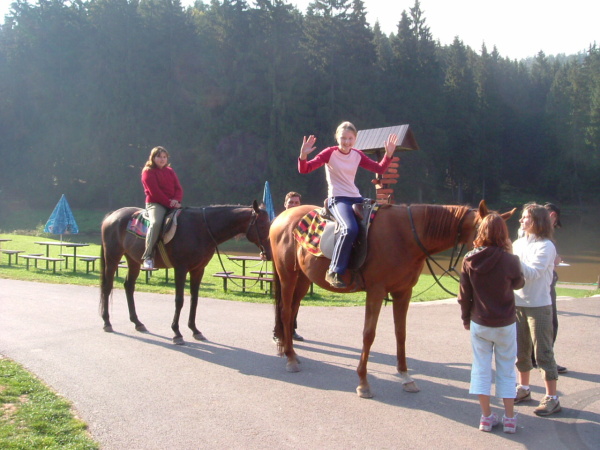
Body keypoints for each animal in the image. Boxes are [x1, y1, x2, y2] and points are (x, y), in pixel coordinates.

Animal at [99, 201, 272, 344]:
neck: (201, 229)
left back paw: (137, 322)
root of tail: (112, 215)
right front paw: (177, 332)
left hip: (133, 260)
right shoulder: (181, 269)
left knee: (129, 286)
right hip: (113, 257)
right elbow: (179, 300)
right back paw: (107, 322)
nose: (269, 254)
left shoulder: (198, 270)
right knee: (107, 287)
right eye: (263, 226)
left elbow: (194, 300)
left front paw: (195, 330)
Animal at [270, 200, 515, 398]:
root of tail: (282, 217)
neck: (406, 235)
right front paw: (363, 382)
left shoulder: (403, 292)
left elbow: (401, 333)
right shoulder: (376, 292)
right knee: (285, 312)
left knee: (292, 310)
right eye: (487, 234)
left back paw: (292, 353)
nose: (509, 267)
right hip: (287, 275)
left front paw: (406, 377)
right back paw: (290, 358)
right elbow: (369, 334)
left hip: (303, 278)